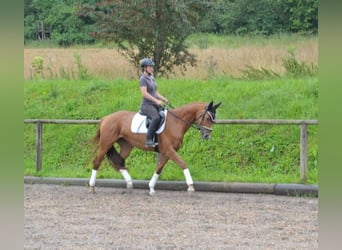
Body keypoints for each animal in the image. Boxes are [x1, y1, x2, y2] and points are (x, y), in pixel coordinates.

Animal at [89, 100, 220, 195]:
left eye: (214, 119)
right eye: (207, 118)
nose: (207, 136)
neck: (176, 122)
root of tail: (105, 118)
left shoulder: (167, 152)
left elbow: (159, 168)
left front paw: (151, 188)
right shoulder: (169, 150)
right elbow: (183, 164)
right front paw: (191, 186)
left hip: (126, 145)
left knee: (118, 162)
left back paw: (130, 183)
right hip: (105, 144)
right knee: (97, 162)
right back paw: (92, 187)